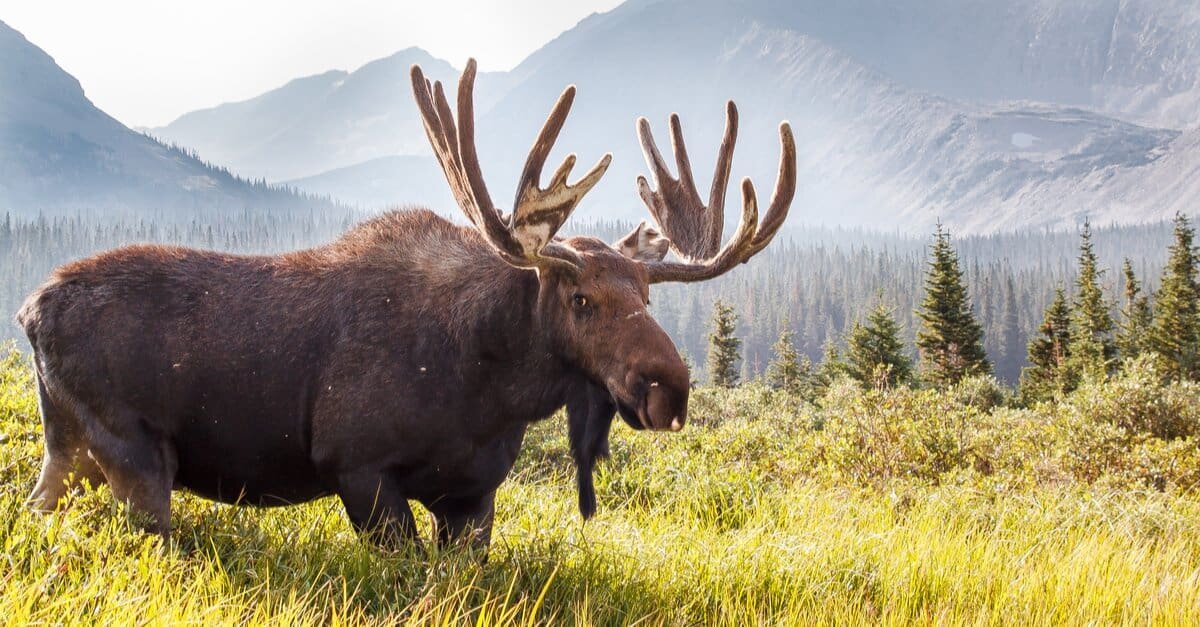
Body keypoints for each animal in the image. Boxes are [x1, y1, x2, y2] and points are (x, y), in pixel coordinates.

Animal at [18, 58, 796, 547]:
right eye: (579, 298)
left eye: (646, 296)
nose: (670, 387)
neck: (493, 387)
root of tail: (29, 311)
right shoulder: (357, 467)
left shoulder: (473, 494)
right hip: (133, 450)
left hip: (70, 449)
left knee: (35, 511)